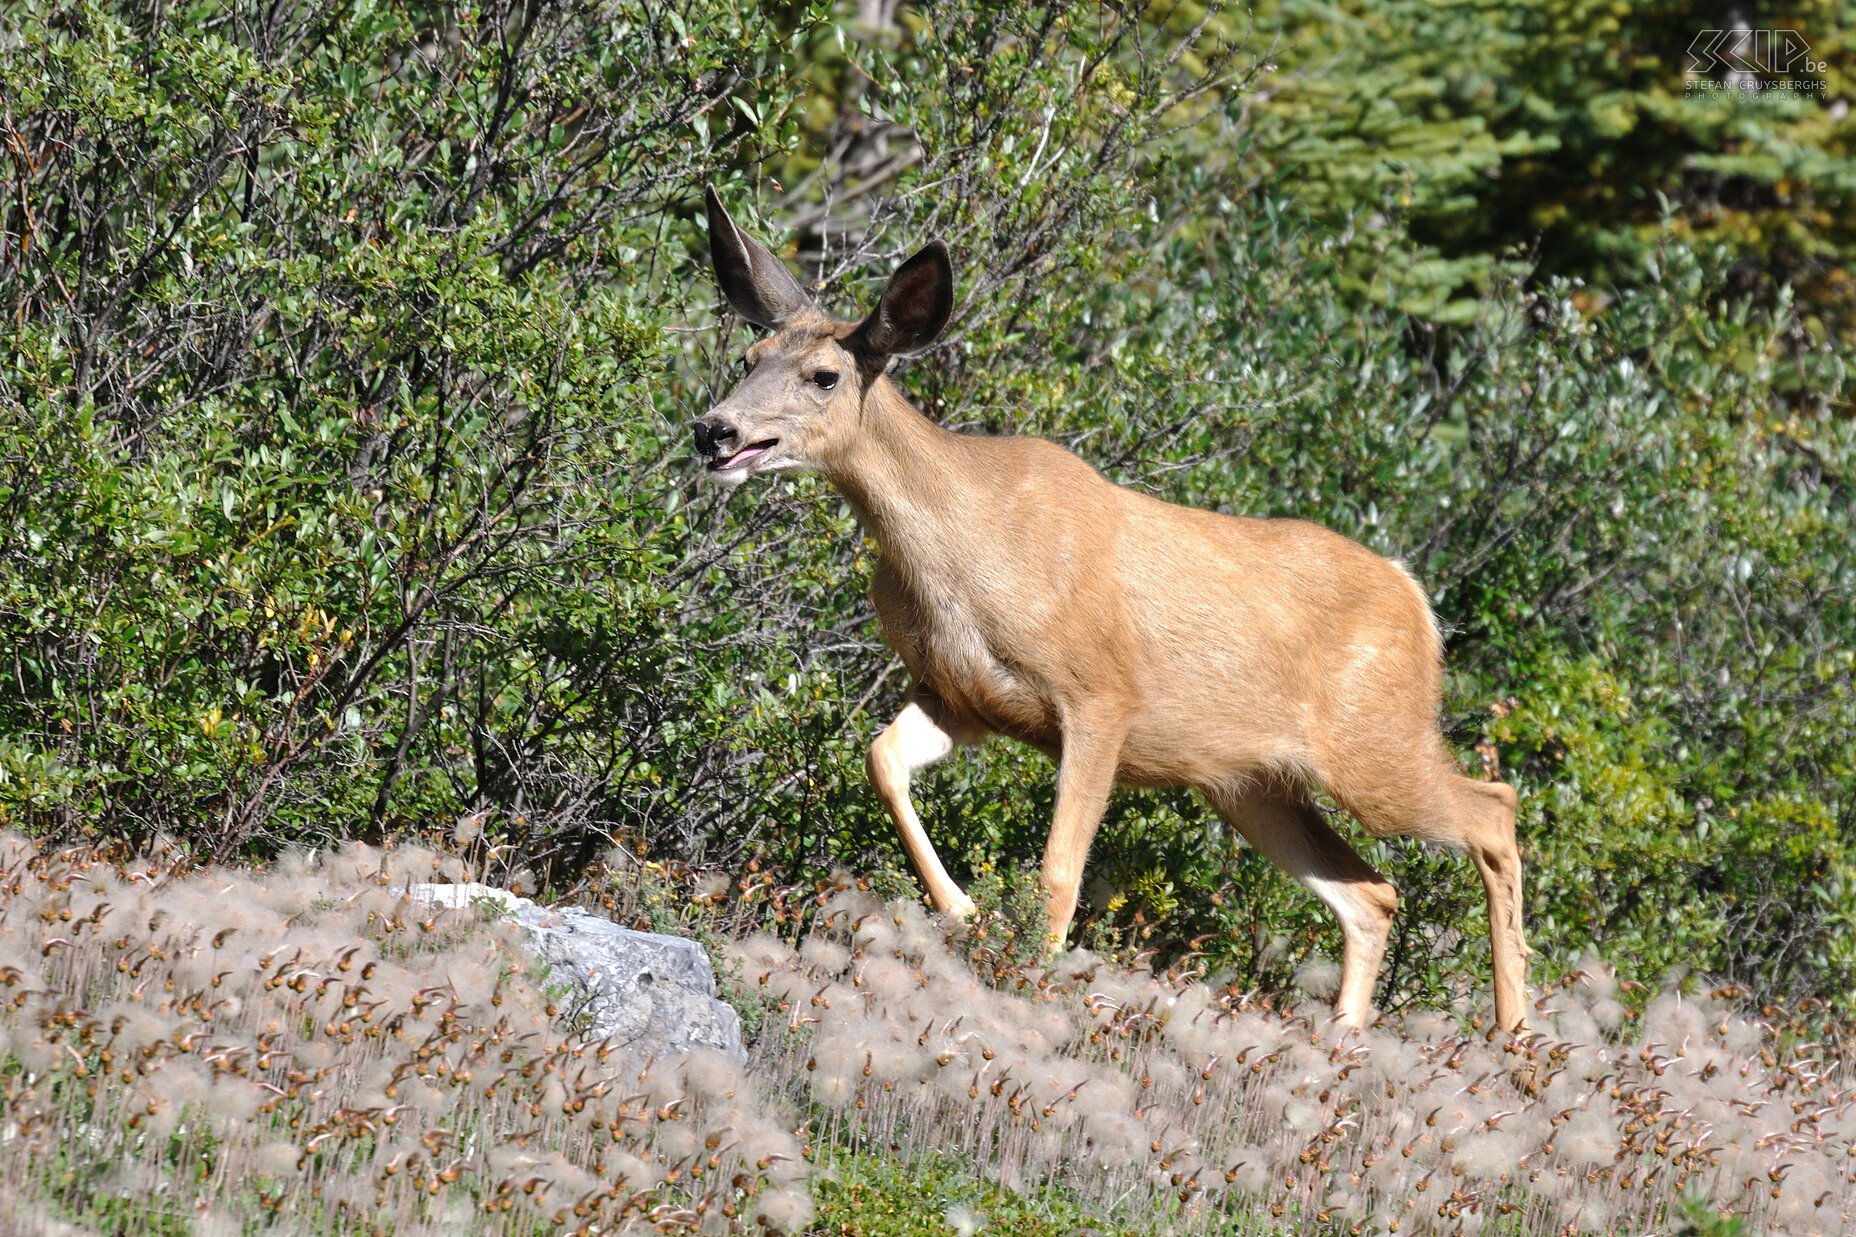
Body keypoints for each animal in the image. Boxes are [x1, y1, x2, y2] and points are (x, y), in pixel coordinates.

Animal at [690, 185, 1529, 1032]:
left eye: (824, 375)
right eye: (750, 358)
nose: (714, 429)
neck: (958, 552)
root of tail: (1416, 597)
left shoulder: (1100, 693)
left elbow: (1059, 867)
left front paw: (1029, 979)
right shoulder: (962, 695)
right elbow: (882, 759)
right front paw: (962, 909)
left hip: (1374, 745)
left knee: (1494, 809)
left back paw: (1514, 1033)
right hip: (1251, 783)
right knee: (1373, 894)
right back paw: (1349, 1041)